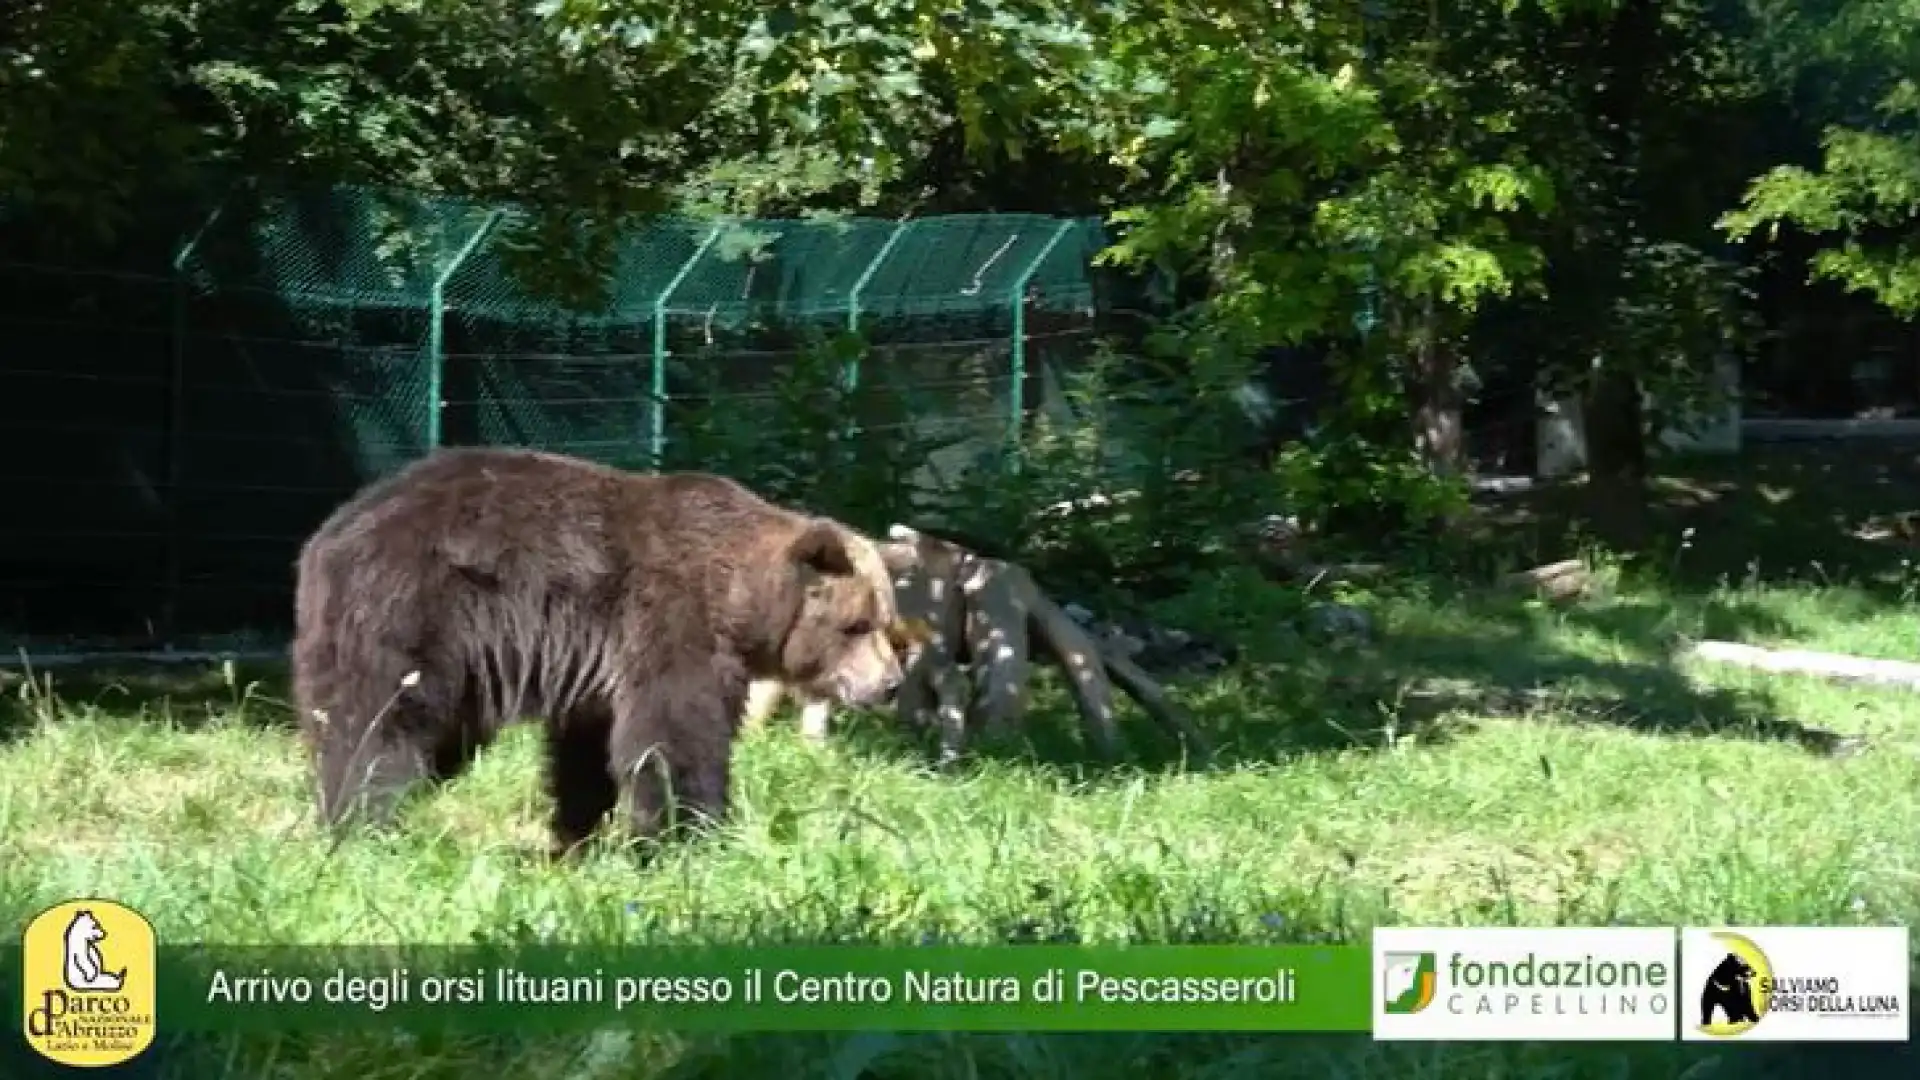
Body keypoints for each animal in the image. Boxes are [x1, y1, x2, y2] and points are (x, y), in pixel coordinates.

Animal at [289, 441, 906, 853]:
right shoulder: (671, 621)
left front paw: (576, 835)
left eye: (886, 622)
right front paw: (689, 834)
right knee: (378, 725)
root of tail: (326, 534)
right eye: (858, 624)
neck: (740, 599)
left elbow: (588, 749)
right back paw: (362, 823)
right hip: (412, 612)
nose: (891, 683)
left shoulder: (597, 667)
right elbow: (675, 736)